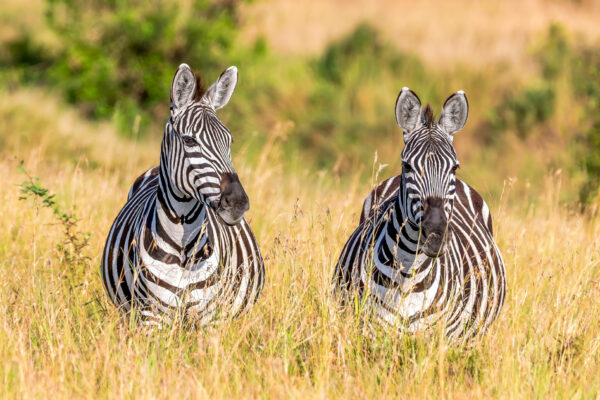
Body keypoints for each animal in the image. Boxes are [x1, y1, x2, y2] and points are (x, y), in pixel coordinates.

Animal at [102, 63, 264, 324]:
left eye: (229, 141)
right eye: (189, 140)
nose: (238, 203)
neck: (183, 244)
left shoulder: (210, 317)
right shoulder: (151, 315)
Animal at [332, 86, 506, 340]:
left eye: (455, 168)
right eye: (407, 166)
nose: (435, 236)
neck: (408, 274)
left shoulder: (439, 340)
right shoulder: (370, 333)